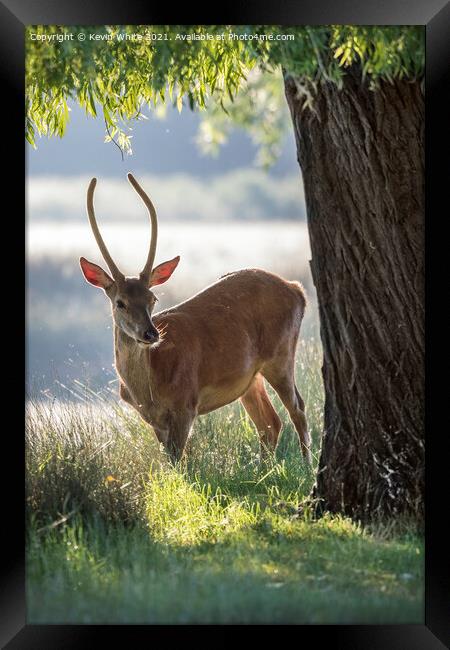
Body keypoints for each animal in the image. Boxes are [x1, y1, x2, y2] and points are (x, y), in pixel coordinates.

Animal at [79, 173, 312, 466]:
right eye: (120, 302)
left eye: (153, 299)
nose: (150, 334)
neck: (147, 392)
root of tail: (297, 290)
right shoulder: (155, 421)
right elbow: (170, 461)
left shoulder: (186, 404)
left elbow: (180, 463)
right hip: (249, 376)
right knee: (270, 423)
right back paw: (265, 468)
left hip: (281, 353)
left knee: (297, 408)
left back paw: (306, 465)